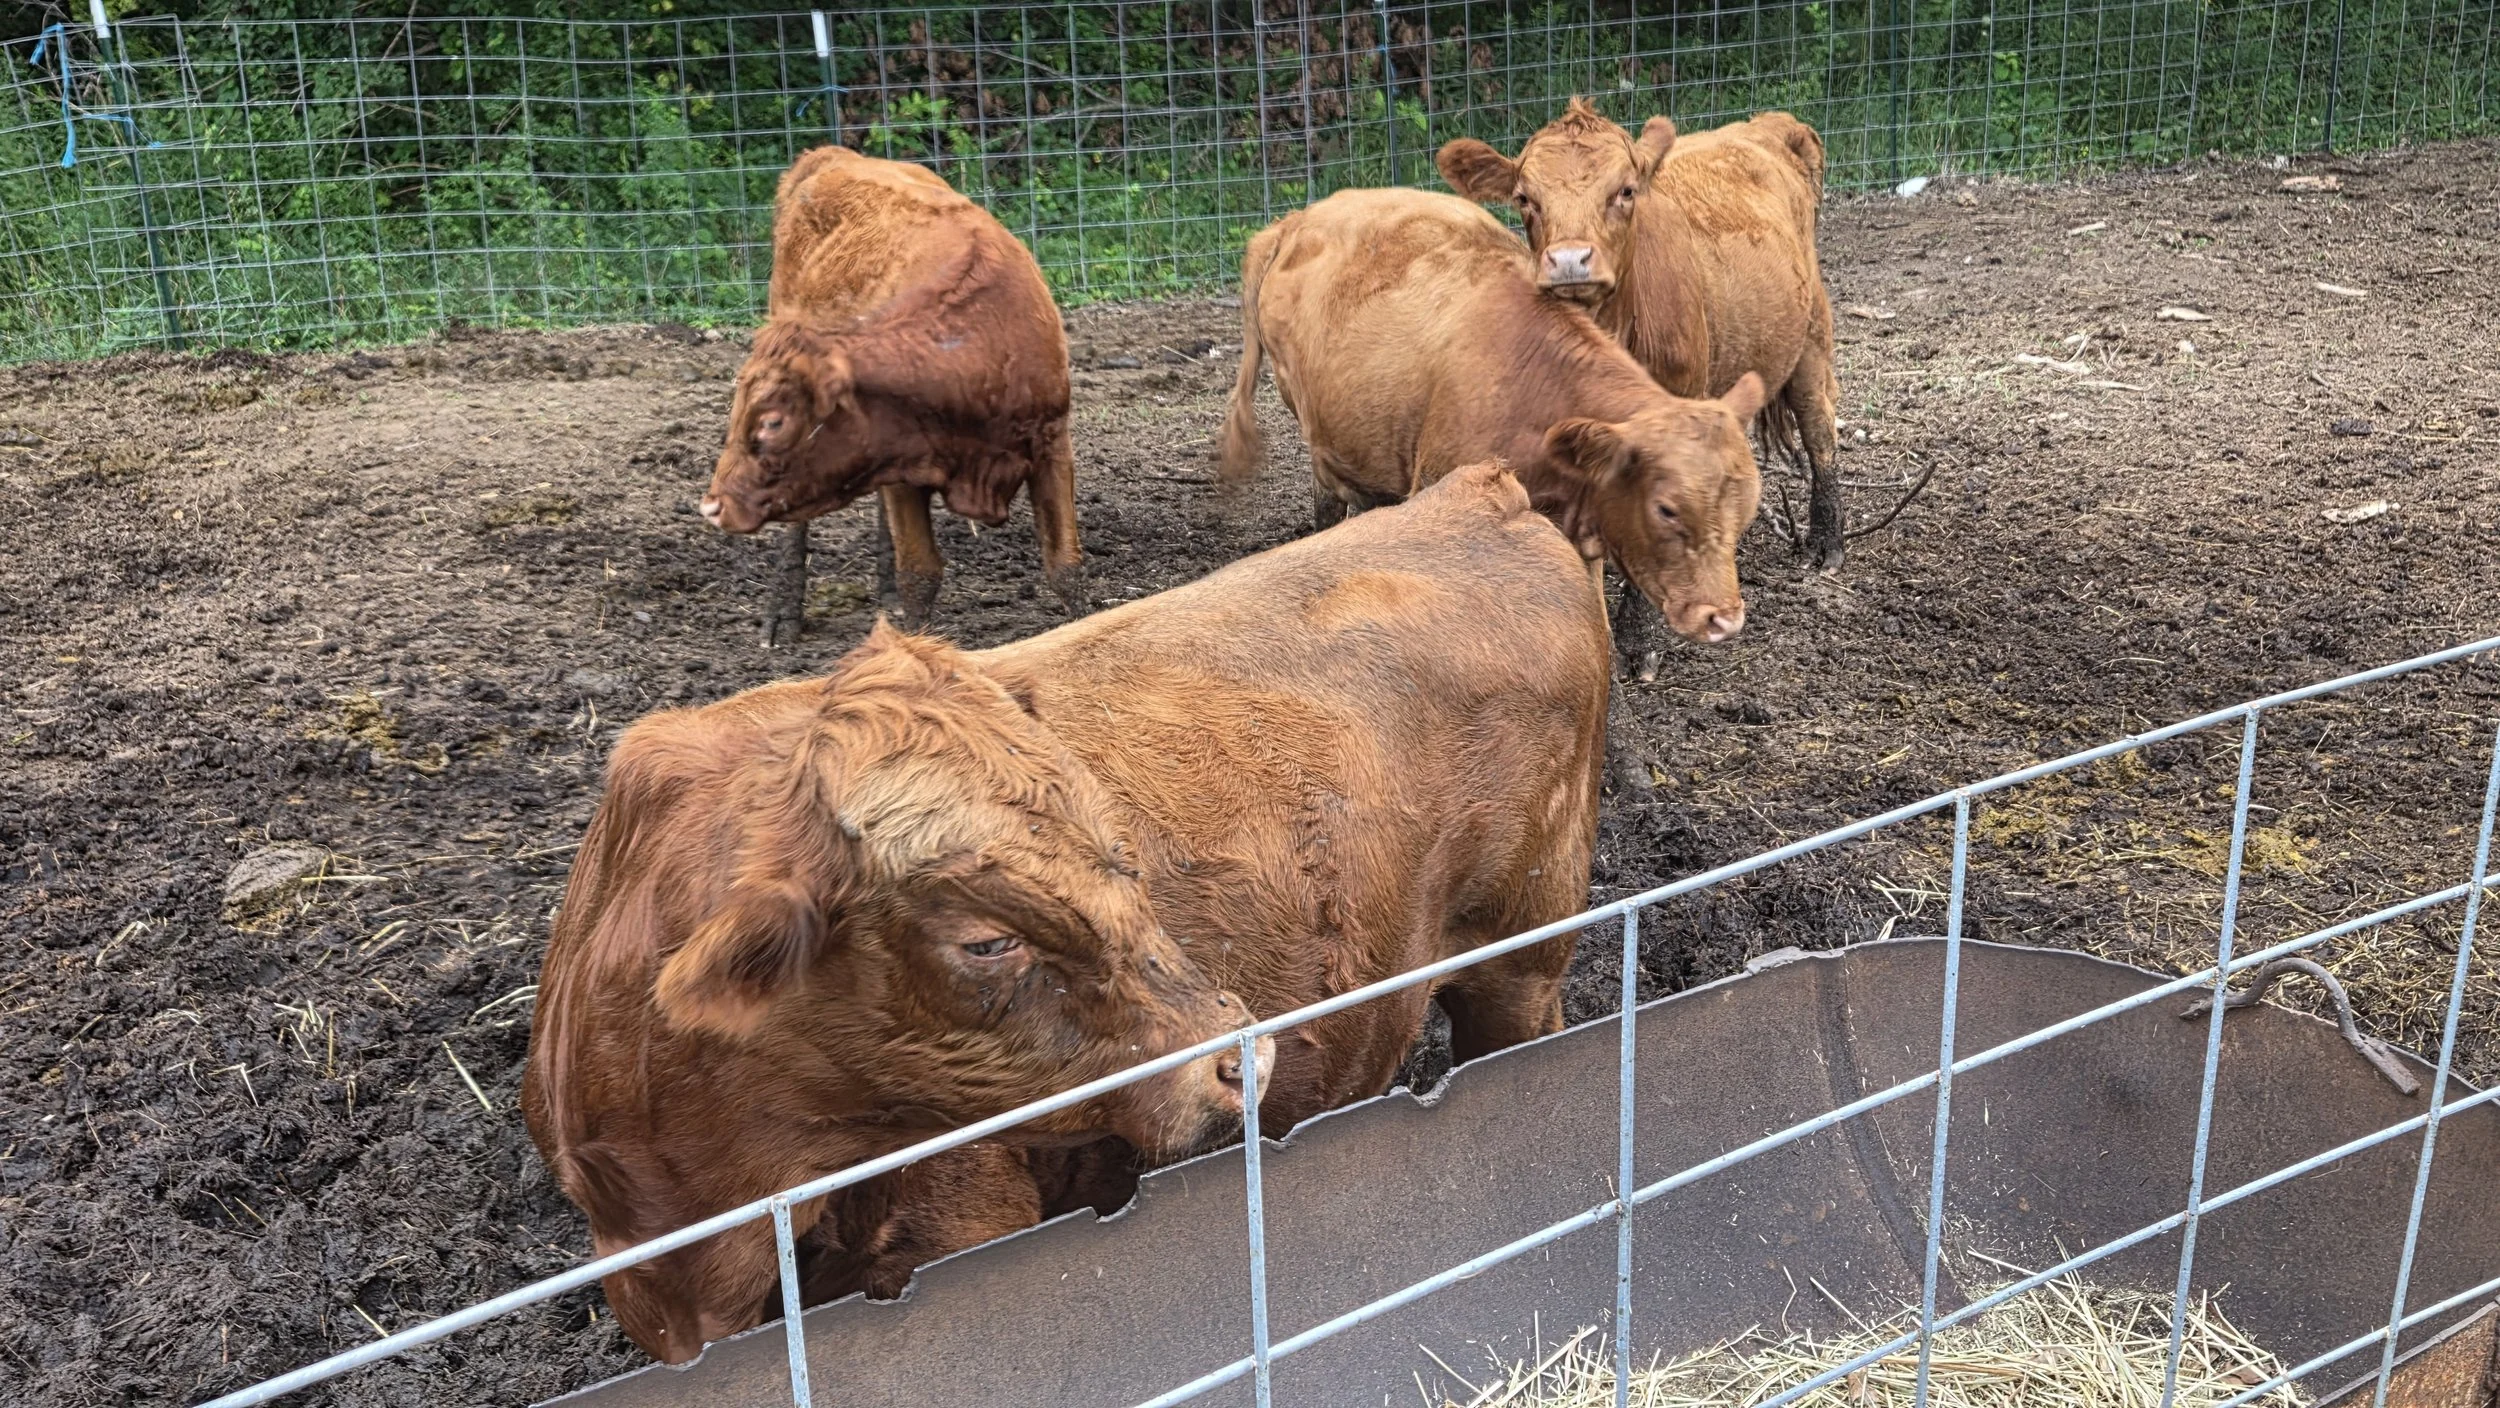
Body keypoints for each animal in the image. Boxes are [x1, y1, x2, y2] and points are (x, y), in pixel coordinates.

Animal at [523, 461, 1608, 1364]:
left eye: (1116, 853)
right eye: (985, 941)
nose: (1238, 1055)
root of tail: (1476, 493)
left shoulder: (966, 1226)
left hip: (1520, 954)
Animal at [703, 146, 1082, 646]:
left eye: (772, 422)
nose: (712, 506)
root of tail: (830, 155)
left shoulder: (1051, 444)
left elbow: (1065, 568)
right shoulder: (905, 472)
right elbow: (920, 575)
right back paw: (783, 614)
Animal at [1438, 100, 1840, 674]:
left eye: (1625, 191)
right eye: (1524, 198)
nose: (1569, 260)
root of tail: (1767, 124)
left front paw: (1636, 639)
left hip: (1810, 336)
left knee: (1819, 429)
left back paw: (1827, 542)